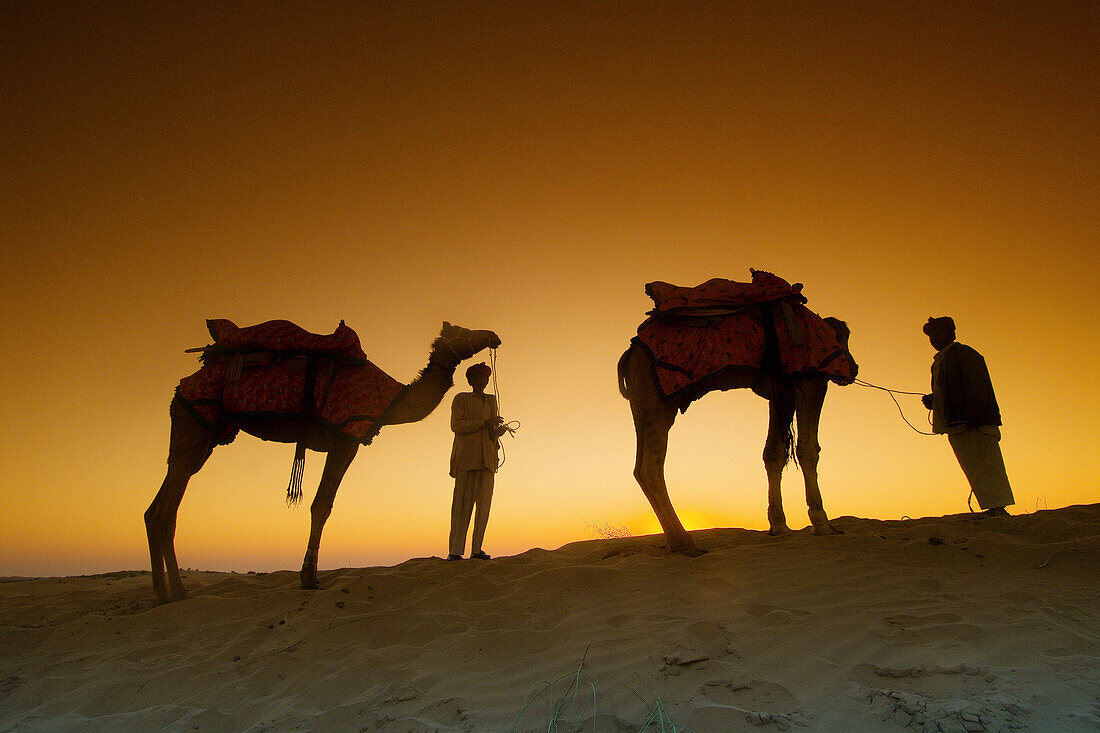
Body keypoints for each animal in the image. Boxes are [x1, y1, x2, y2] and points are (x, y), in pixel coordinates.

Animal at [145, 319, 499, 598]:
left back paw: (162, 592)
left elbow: (322, 504)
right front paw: (309, 579)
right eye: (465, 331)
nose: (494, 335)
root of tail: (187, 380)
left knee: (158, 505)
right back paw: (177, 592)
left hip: (207, 431)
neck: (392, 400)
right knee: (166, 509)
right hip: (197, 417)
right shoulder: (345, 437)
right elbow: (322, 505)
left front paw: (310, 576)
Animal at [620, 314, 858, 554]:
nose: (853, 368)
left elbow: (774, 453)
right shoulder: (811, 379)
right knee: (651, 467)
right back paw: (686, 543)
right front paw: (823, 525)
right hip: (659, 396)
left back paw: (679, 542)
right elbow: (808, 449)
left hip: (642, 402)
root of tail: (629, 353)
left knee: (640, 467)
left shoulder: (782, 391)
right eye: (844, 340)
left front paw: (780, 526)